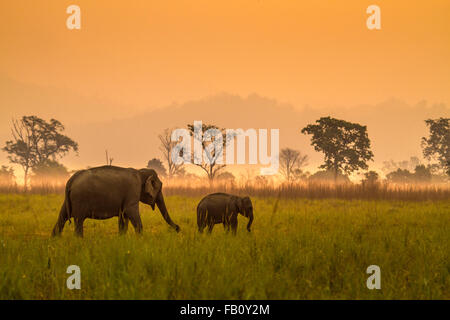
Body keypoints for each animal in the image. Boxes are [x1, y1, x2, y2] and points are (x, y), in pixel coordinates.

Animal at [51, 166, 180, 236]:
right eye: (160, 188)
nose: (178, 228)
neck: (140, 171)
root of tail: (71, 180)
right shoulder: (133, 190)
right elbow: (131, 212)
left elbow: (123, 218)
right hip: (80, 199)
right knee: (78, 221)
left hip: (69, 200)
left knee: (61, 218)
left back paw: (55, 240)